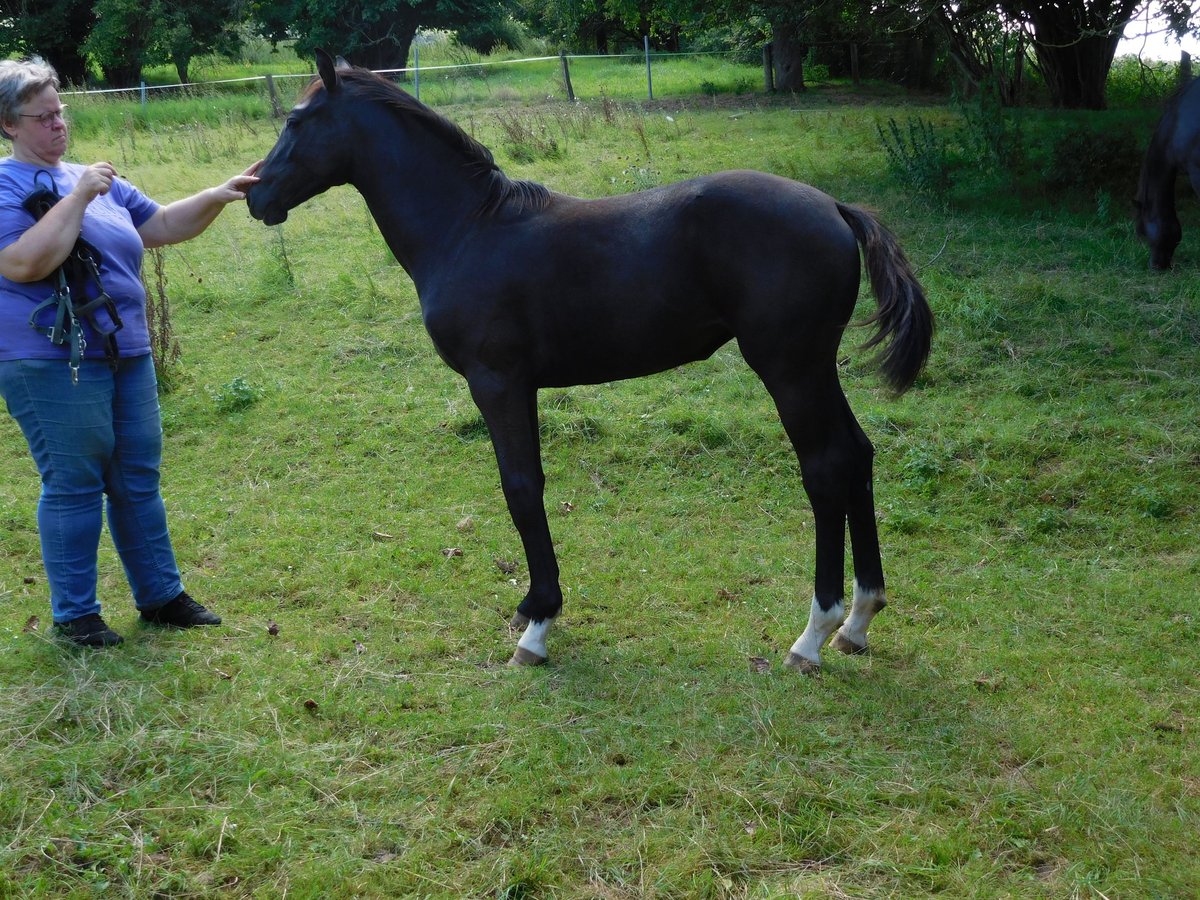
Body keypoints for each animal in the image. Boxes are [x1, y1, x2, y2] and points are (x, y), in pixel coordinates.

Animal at [248, 47, 931, 672]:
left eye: (298, 120)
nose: (256, 197)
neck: (467, 229)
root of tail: (835, 207)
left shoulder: (495, 382)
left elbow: (521, 487)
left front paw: (538, 624)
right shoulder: (520, 386)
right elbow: (531, 485)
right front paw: (531, 607)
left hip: (789, 369)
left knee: (826, 468)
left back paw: (814, 634)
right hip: (815, 369)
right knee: (858, 455)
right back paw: (859, 621)